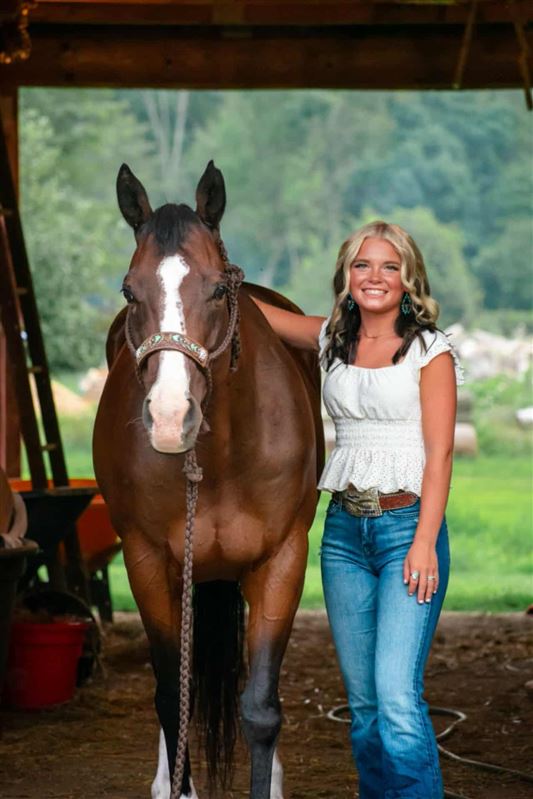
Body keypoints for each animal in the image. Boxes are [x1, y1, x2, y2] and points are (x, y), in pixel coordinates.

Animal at [93, 161, 324, 798]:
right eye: (130, 291)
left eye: (218, 289)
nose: (172, 416)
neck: (219, 460)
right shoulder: (147, 562)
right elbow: (173, 695)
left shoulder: (281, 561)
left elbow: (261, 707)